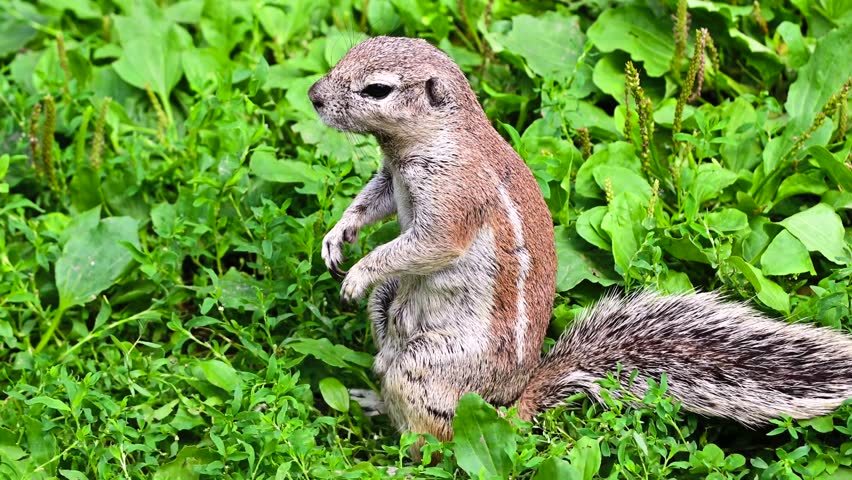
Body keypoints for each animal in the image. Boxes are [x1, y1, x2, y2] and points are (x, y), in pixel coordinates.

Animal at [308, 36, 852, 456]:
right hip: (391, 324)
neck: (422, 144)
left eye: (377, 89)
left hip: (427, 368)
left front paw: (360, 272)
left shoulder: (454, 199)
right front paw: (338, 237)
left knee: (437, 436)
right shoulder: (391, 177)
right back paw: (371, 398)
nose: (313, 95)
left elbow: (429, 243)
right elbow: (373, 201)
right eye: (349, 52)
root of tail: (508, 408)